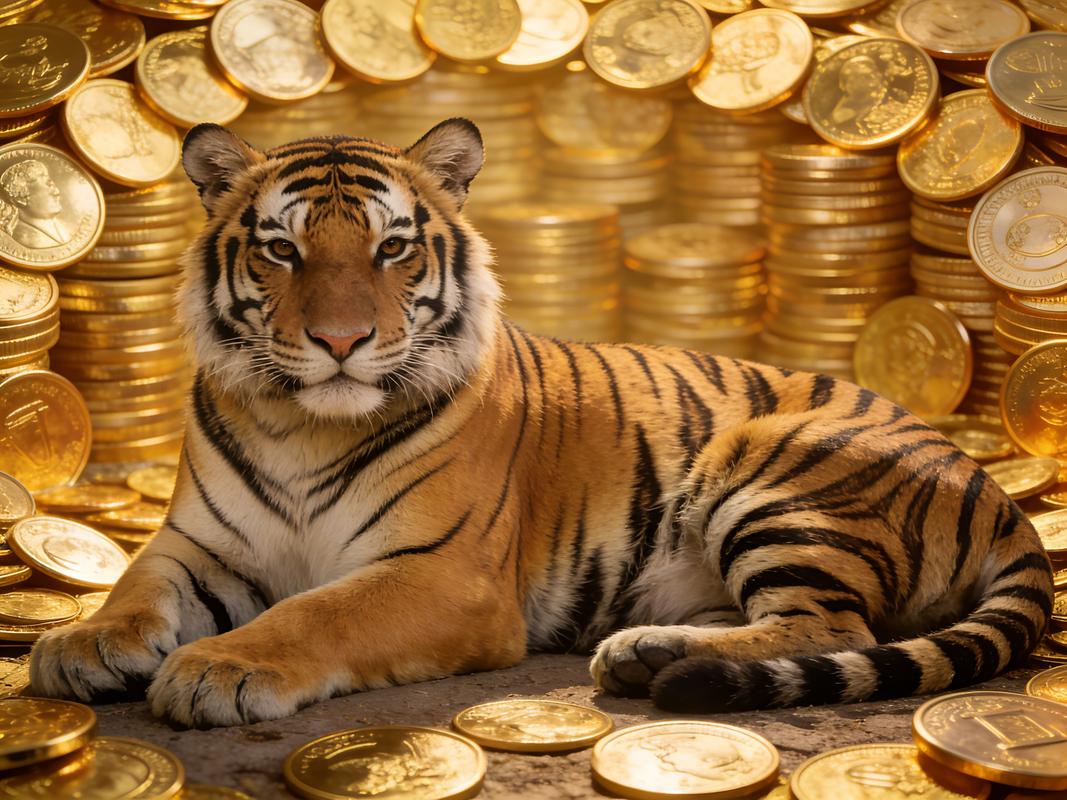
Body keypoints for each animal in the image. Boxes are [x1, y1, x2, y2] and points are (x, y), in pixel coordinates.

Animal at [29, 118, 1053, 728]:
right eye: (281, 250)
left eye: (391, 248)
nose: (340, 340)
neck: (302, 426)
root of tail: (997, 493)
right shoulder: (198, 544)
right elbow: (132, 585)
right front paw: (79, 646)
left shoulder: (443, 574)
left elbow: (317, 610)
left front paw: (220, 667)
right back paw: (646, 650)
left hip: (764, 466)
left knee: (833, 625)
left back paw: (648, 660)